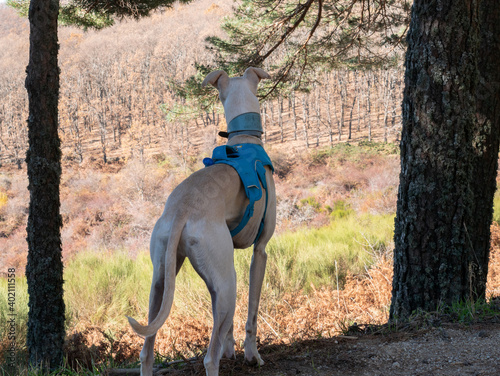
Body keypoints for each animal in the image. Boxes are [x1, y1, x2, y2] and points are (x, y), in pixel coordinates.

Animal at [128, 68, 278, 376]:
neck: (244, 140)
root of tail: (181, 211)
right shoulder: (260, 251)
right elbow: (252, 312)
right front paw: (252, 355)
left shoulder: (219, 272)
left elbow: (224, 326)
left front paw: (229, 349)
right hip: (228, 283)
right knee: (209, 358)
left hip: (163, 280)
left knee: (146, 351)